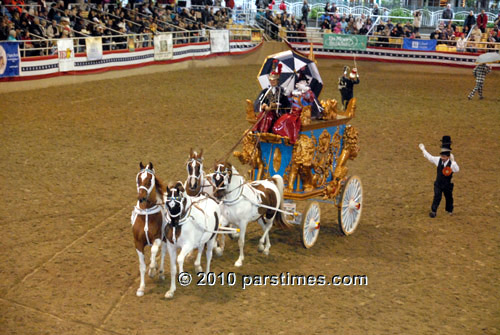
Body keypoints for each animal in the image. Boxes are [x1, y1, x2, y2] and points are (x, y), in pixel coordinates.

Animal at [132, 162, 169, 296]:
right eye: (138, 179)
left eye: (149, 180)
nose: (141, 197)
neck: (146, 214)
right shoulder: (138, 243)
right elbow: (142, 266)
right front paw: (141, 288)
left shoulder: (157, 238)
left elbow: (154, 251)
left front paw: (152, 270)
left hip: (165, 239)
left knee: (162, 253)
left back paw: (160, 272)